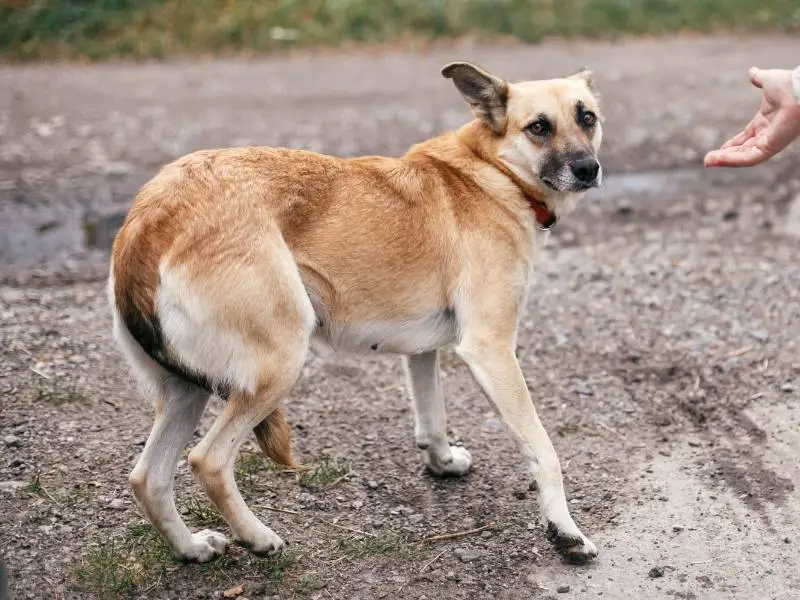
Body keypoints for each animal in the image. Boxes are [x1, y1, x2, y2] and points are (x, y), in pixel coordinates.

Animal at [109, 61, 604, 564]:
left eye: (587, 118)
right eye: (539, 127)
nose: (588, 169)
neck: (492, 172)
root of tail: (148, 219)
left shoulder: (423, 352)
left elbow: (432, 416)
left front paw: (442, 462)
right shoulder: (491, 349)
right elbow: (544, 451)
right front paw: (565, 531)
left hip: (186, 390)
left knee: (148, 478)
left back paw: (190, 548)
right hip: (279, 364)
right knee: (207, 460)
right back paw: (259, 537)